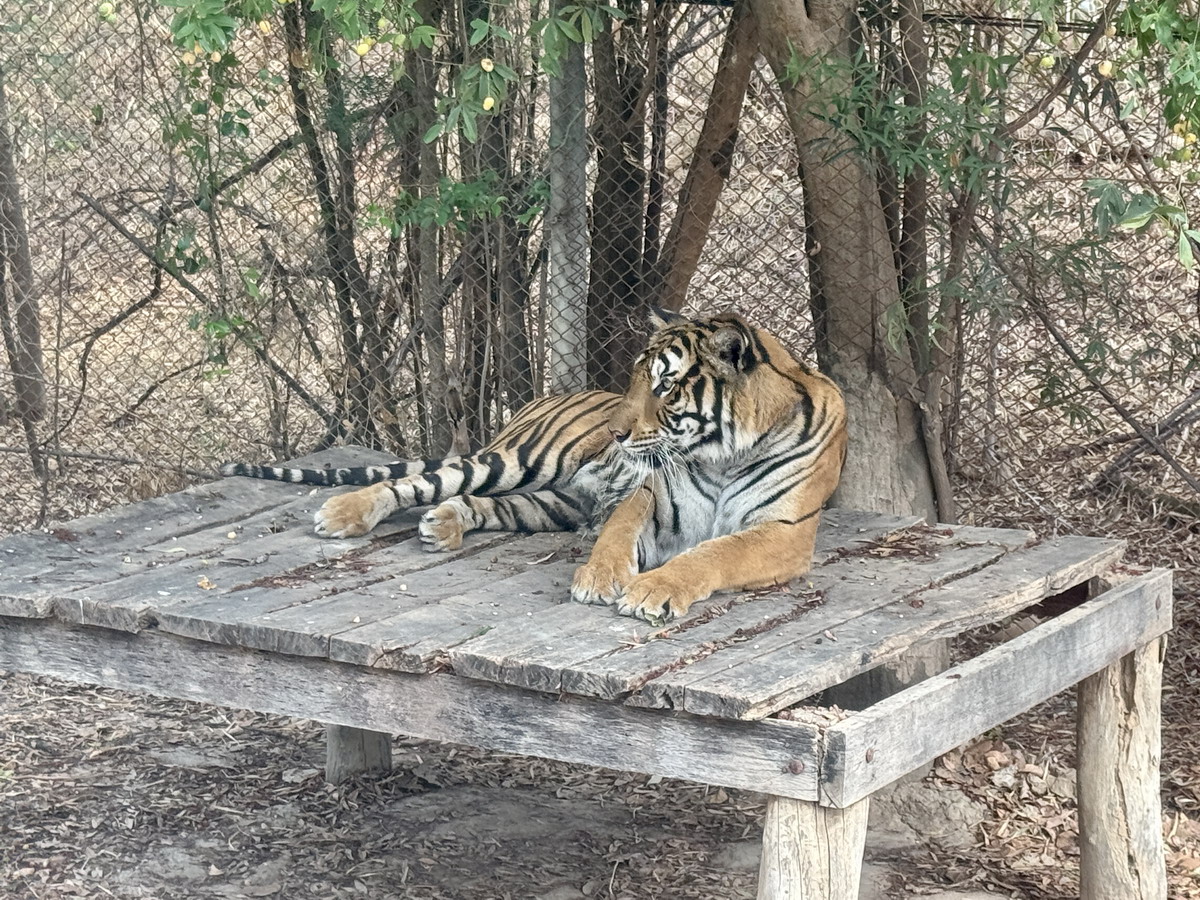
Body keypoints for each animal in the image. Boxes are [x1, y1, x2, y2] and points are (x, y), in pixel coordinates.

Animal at [223, 309, 844, 619]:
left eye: (665, 386)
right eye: (636, 378)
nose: (616, 432)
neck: (723, 454)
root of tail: (541, 400)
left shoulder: (783, 531)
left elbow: (713, 552)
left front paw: (652, 590)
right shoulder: (651, 497)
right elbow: (618, 534)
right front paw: (600, 578)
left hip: (551, 503)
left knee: (479, 504)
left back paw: (443, 526)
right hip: (520, 460)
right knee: (421, 481)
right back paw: (343, 514)